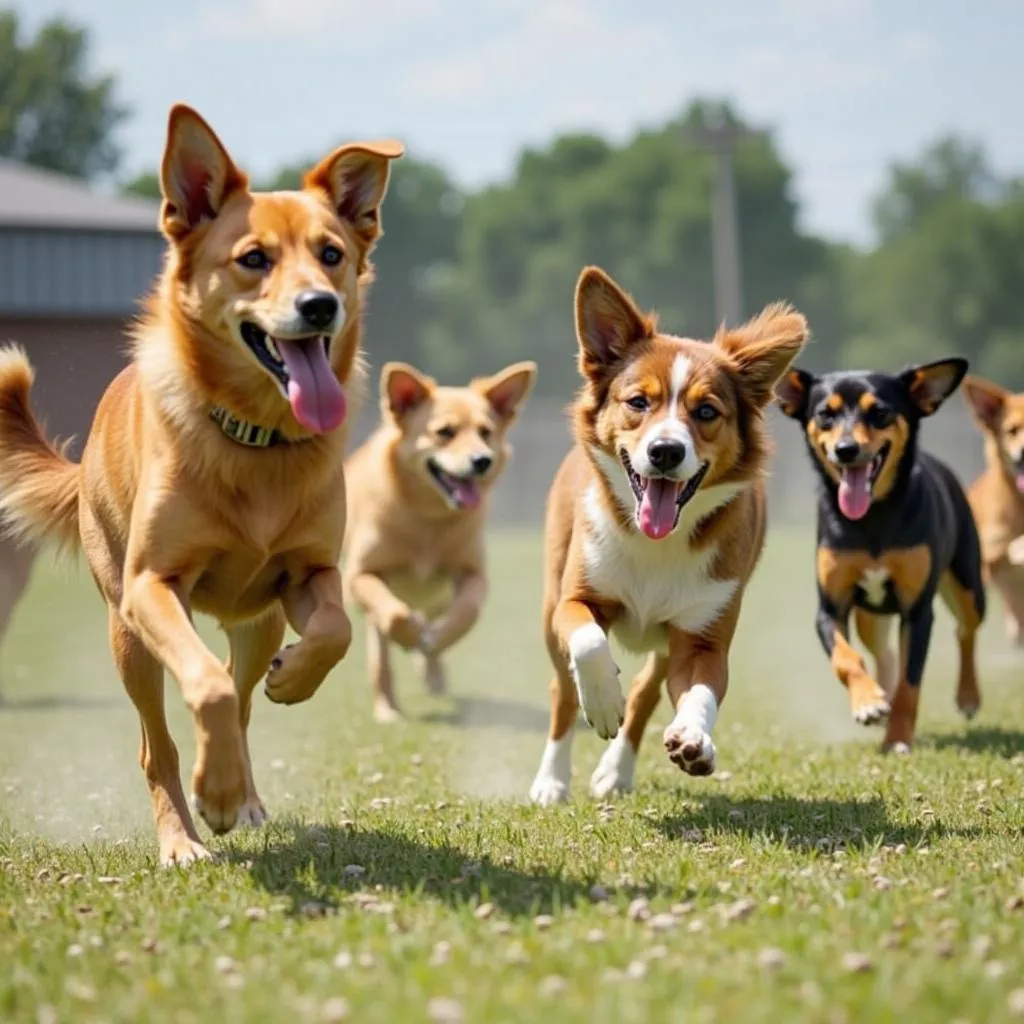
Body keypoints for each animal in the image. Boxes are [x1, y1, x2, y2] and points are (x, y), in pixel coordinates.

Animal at [0, 103, 403, 864]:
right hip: (127, 634)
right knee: (158, 741)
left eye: (332, 254)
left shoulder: (308, 573)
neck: (256, 442)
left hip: (256, 621)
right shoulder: (154, 586)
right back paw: (183, 835)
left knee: (241, 702)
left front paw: (294, 678)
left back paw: (245, 788)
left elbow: (334, 630)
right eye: (254, 259)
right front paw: (209, 796)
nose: (320, 306)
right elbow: (206, 689)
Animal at [344, 360, 536, 720]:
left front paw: (436, 641)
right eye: (444, 432)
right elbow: (394, 615)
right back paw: (388, 709)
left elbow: (467, 613)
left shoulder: (473, 574)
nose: (482, 461)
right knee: (382, 657)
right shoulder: (360, 576)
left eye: (486, 432)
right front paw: (409, 635)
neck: (428, 520)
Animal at [528, 266, 806, 806]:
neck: (657, 542)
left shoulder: (702, 637)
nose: (665, 451)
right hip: (552, 603)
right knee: (562, 692)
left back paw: (617, 771)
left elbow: (699, 691)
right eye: (639, 402)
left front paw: (694, 738)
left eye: (707, 412)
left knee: (646, 691)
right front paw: (603, 703)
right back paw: (551, 779)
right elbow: (589, 643)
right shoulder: (577, 598)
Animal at [778, 360, 987, 753]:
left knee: (966, 629)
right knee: (884, 653)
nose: (846, 449)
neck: (872, 517)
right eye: (825, 414)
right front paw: (869, 702)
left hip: (968, 584)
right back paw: (881, 696)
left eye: (880, 413)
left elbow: (910, 682)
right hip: (870, 615)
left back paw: (968, 696)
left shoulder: (917, 612)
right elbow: (846, 659)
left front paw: (898, 739)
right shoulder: (829, 609)